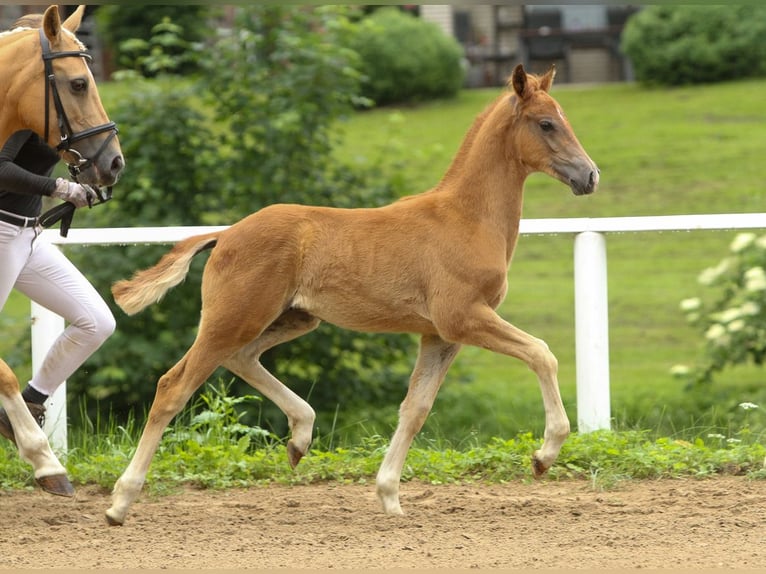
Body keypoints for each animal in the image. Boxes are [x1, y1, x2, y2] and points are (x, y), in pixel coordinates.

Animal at [108, 63, 600, 528]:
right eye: (546, 123)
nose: (589, 175)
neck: (466, 218)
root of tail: (225, 234)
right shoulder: (463, 317)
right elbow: (541, 353)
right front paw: (543, 456)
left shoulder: (440, 334)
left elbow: (416, 408)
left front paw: (390, 496)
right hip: (235, 318)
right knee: (174, 386)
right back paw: (120, 502)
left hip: (291, 318)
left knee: (241, 358)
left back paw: (300, 438)